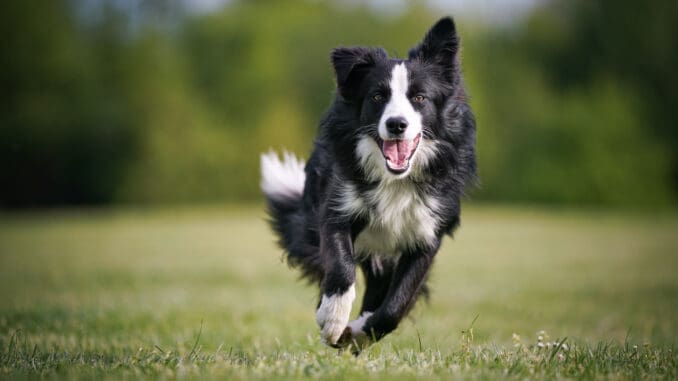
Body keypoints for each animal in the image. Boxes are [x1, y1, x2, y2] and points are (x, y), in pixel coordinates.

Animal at [260, 18, 478, 350]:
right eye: (377, 96)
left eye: (419, 98)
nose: (396, 124)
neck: (395, 180)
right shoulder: (337, 209)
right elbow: (340, 268)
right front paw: (333, 319)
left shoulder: (428, 234)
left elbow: (396, 304)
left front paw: (360, 332)